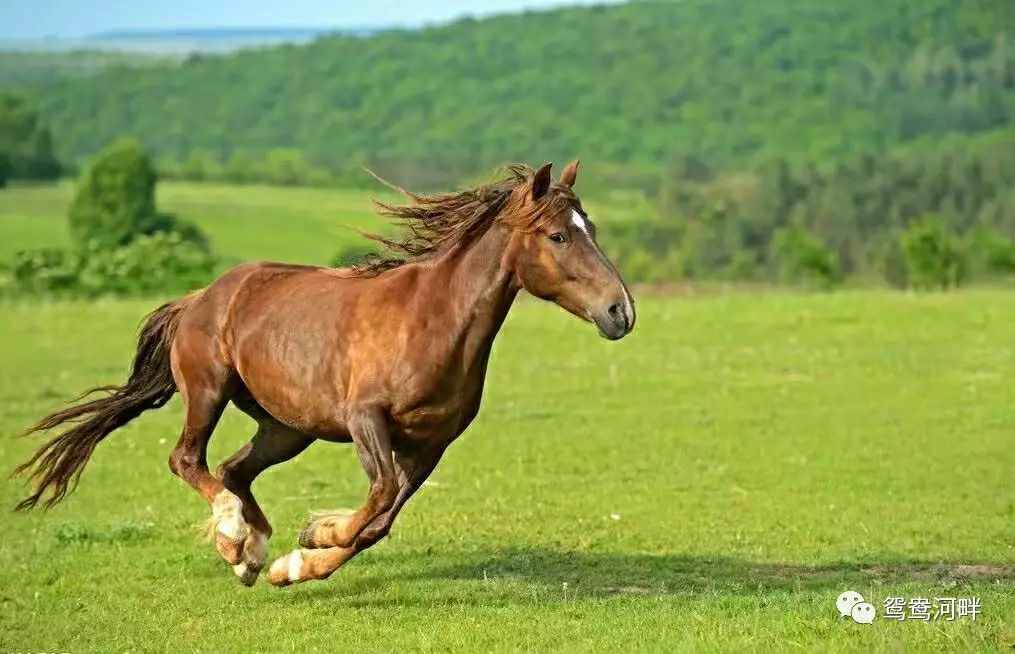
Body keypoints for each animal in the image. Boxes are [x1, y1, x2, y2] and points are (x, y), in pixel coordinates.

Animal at [11, 162, 633, 589]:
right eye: (558, 235)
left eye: (592, 227)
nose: (621, 311)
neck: (432, 319)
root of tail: (200, 297)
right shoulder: (366, 420)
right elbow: (378, 498)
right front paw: (312, 540)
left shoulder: (431, 443)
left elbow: (380, 520)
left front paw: (297, 557)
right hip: (209, 392)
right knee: (188, 460)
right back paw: (234, 536)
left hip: (287, 428)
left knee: (234, 470)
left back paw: (250, 555)